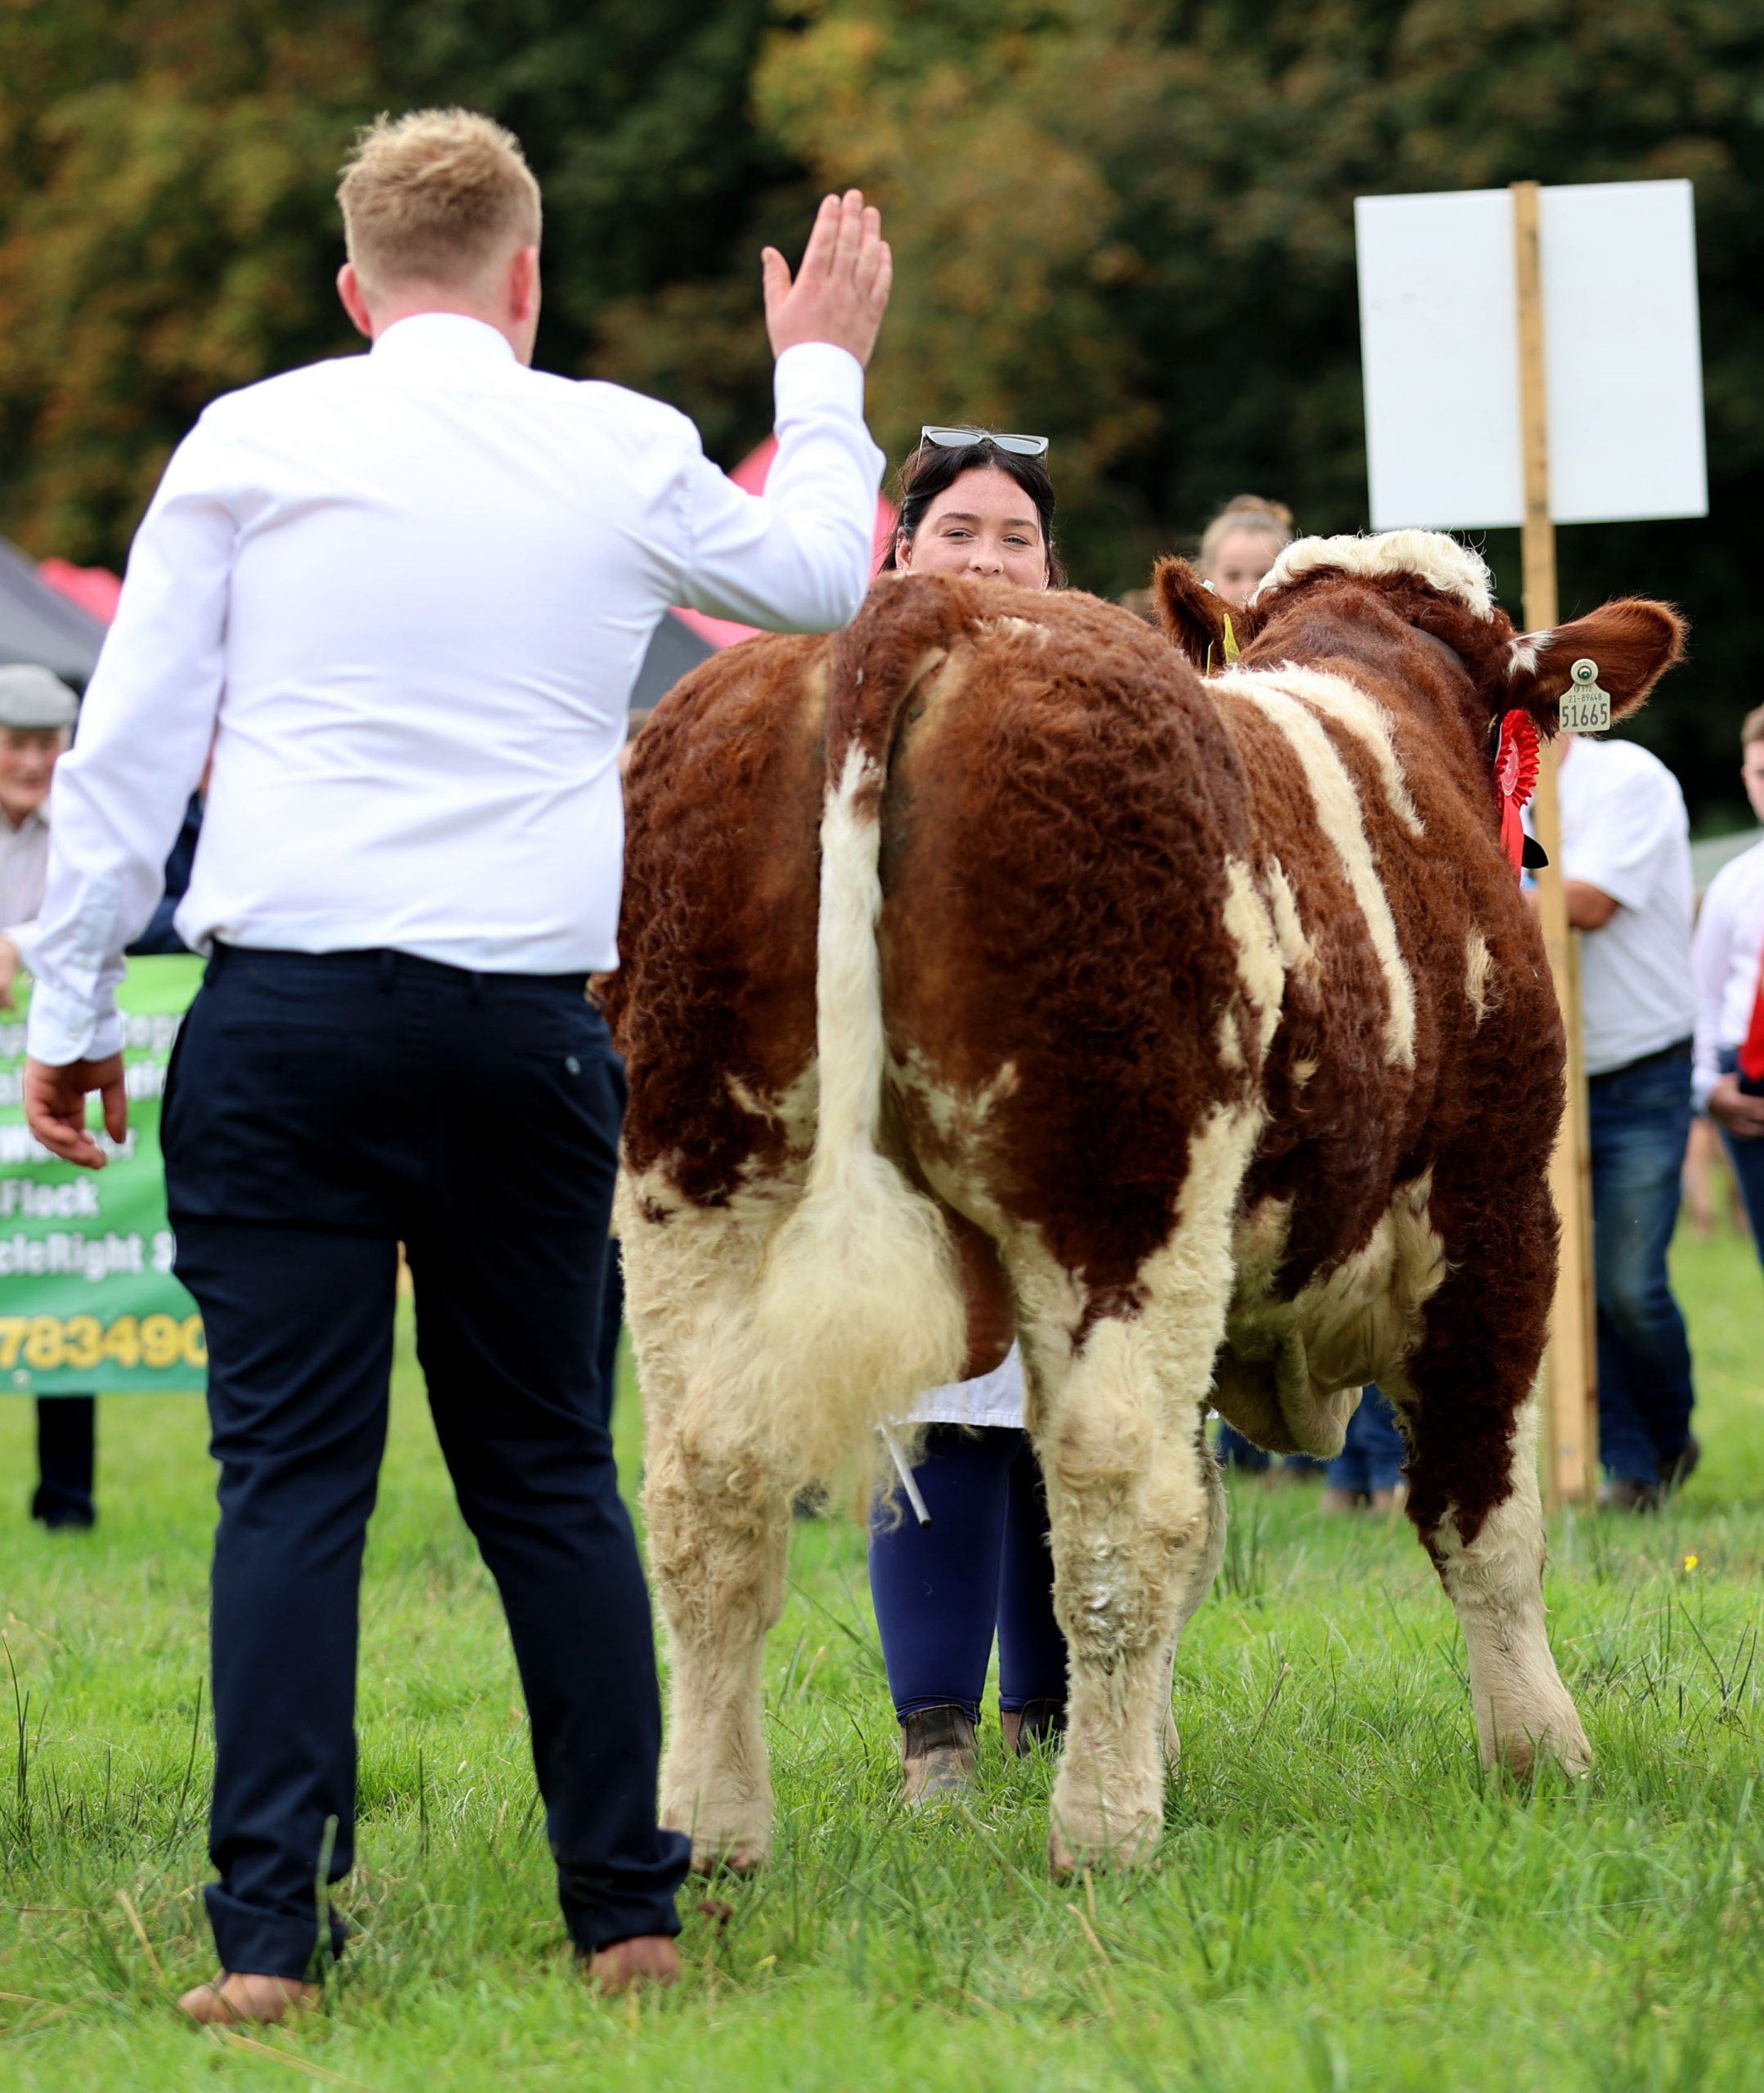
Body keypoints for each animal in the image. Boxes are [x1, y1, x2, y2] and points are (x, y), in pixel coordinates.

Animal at [607, 531, 1682, 1875]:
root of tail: (924, 608)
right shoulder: (1492, 1211)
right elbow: (1479, 1510)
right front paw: (1541, 1754)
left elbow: (1220, 1525)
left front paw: (1163, 1747)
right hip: (1119, 1189)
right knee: (1115, 1499)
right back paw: (1105, 1833)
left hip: (695, 1172)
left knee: (709, 1489)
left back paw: (711, 1835)